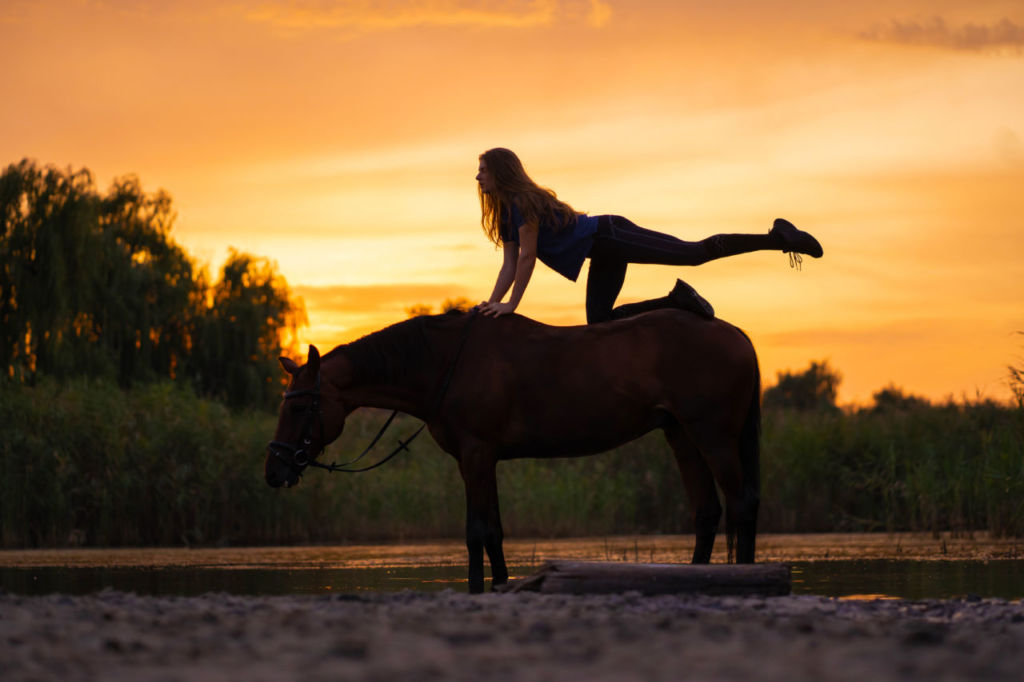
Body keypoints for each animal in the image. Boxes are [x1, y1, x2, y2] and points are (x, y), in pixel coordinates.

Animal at [265, 309, 761, 594]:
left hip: (713, 436)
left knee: (741, 505)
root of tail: (736, 333)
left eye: (300, 406)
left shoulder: (475, 456)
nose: (274, 471)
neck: (445, 364)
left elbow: (476, 532)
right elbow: (495, 532)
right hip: (681, 436)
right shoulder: (484, 461)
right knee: (707, 512)